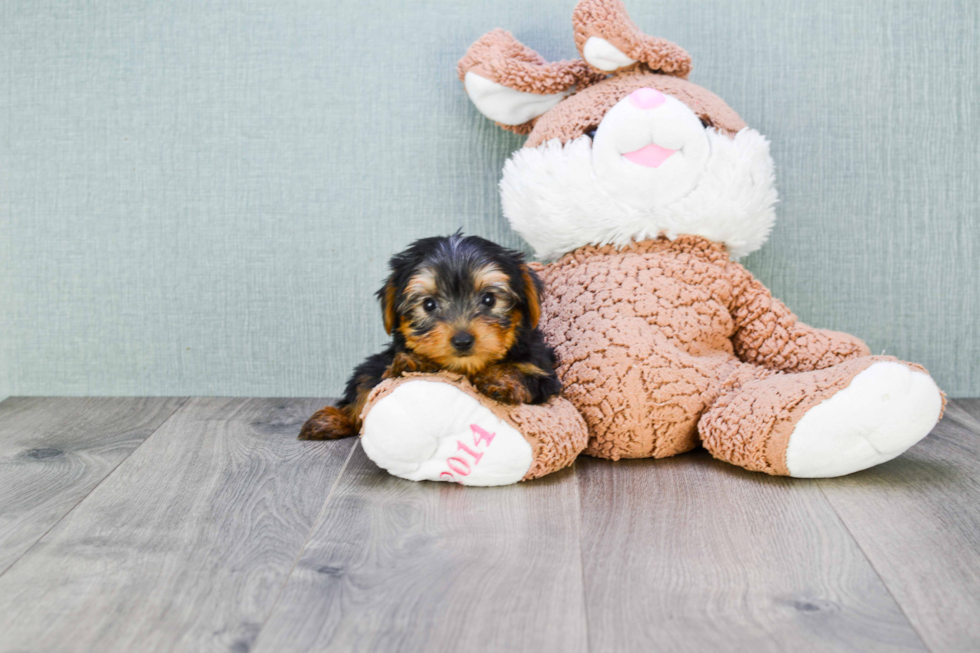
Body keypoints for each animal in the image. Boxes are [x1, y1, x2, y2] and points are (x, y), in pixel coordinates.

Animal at [296, 232, 560, 440]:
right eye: (429, 304)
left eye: (489, 299)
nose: (462, 340)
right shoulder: (381, 368)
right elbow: (370, 388)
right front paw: (412, 362)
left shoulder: (543, 371)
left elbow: (524, 372)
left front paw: (501, 379)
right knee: (361, 383)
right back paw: (330, 420)